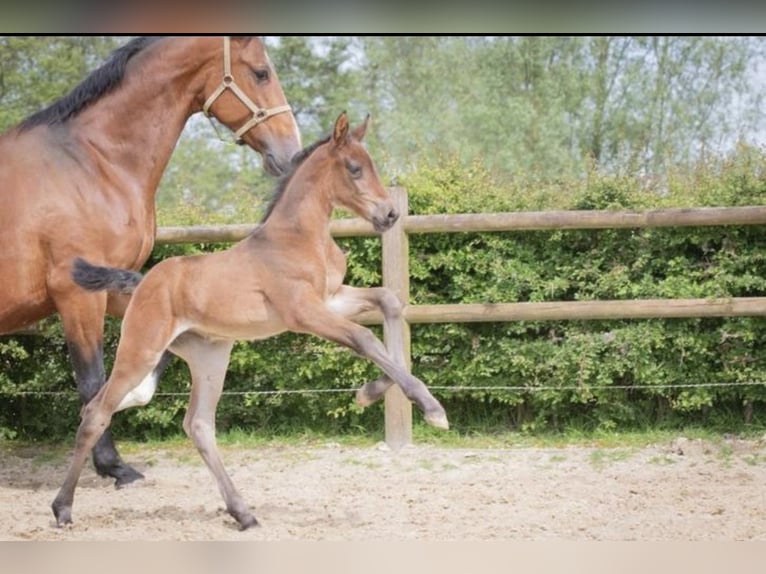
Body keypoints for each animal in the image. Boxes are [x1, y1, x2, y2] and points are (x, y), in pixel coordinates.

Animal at [0, 36, 304, 488]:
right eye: (261, 72)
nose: (291, 152)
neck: (91, 162)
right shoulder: (76, 295)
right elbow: (92, 379)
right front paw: (114, 465)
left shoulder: (116, 285)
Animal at [52, 112, 450, 532]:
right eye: (355, 168)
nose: (389, 215)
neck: (298, 237)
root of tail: (145, 281)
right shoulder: (303, 311)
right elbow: (364, 339)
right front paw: (431, 408)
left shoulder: (332, 298)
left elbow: (389, 302)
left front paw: (370, 392)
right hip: (141, 350)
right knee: (96, 412)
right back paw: (62, 509)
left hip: (210, 356)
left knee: (198, 425)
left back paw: (243, 513)